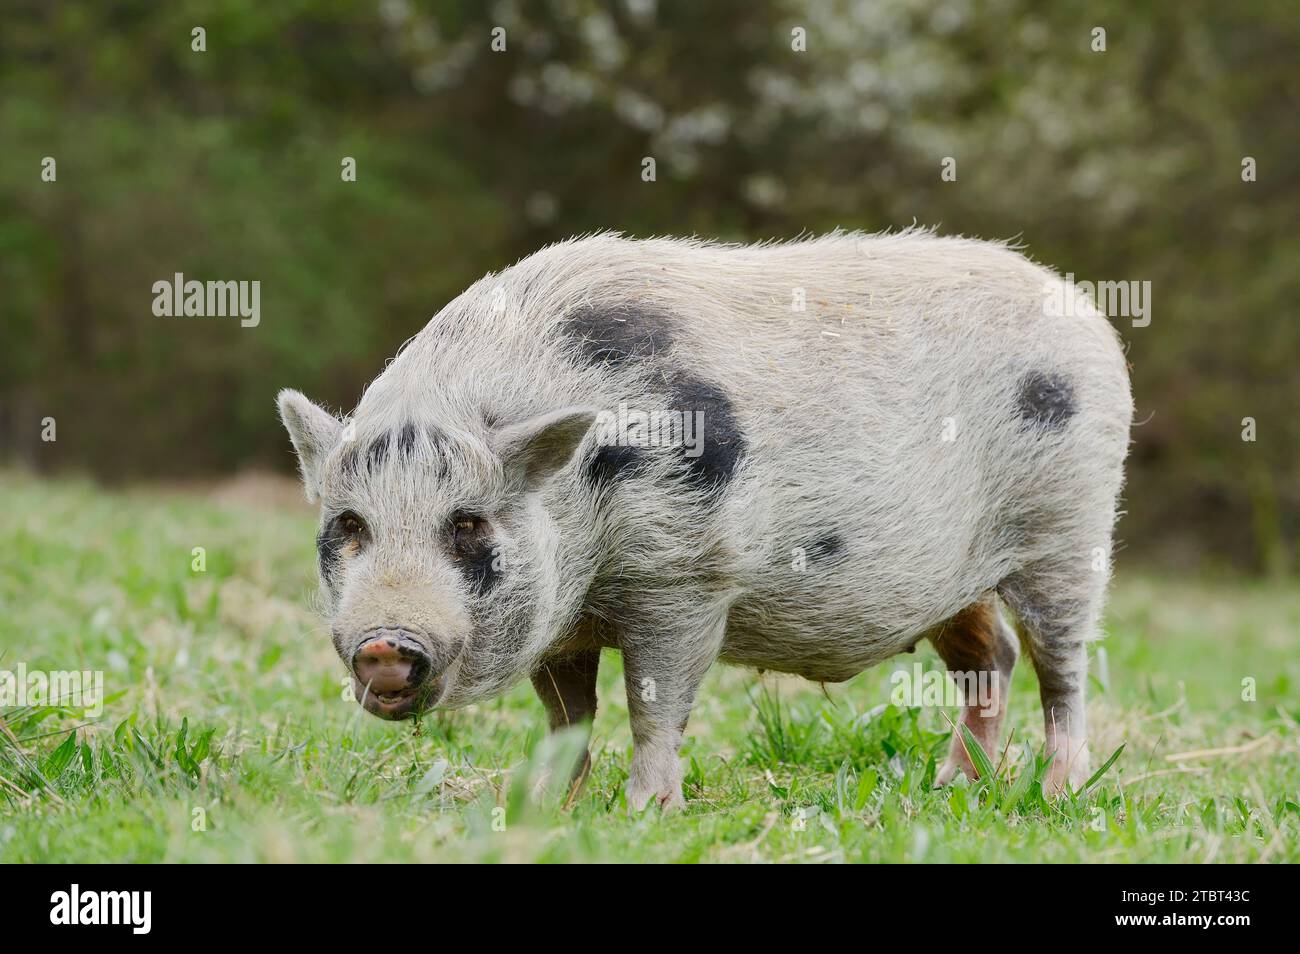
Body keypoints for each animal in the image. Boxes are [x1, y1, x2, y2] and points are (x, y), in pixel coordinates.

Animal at [279, 227, 1133, 811]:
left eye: (467, 527)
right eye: (350, 527)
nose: (386, 643)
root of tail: (1084, 310)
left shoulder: (684, 578)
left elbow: (653, 701)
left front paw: (646, 811)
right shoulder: (562, 617)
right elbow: (569, 714)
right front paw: (547, 803)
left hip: (1072, 523)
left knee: (1061, 665)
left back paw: (1057, 792)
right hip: (957, 579)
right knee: (991, 657)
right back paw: (952, 786)